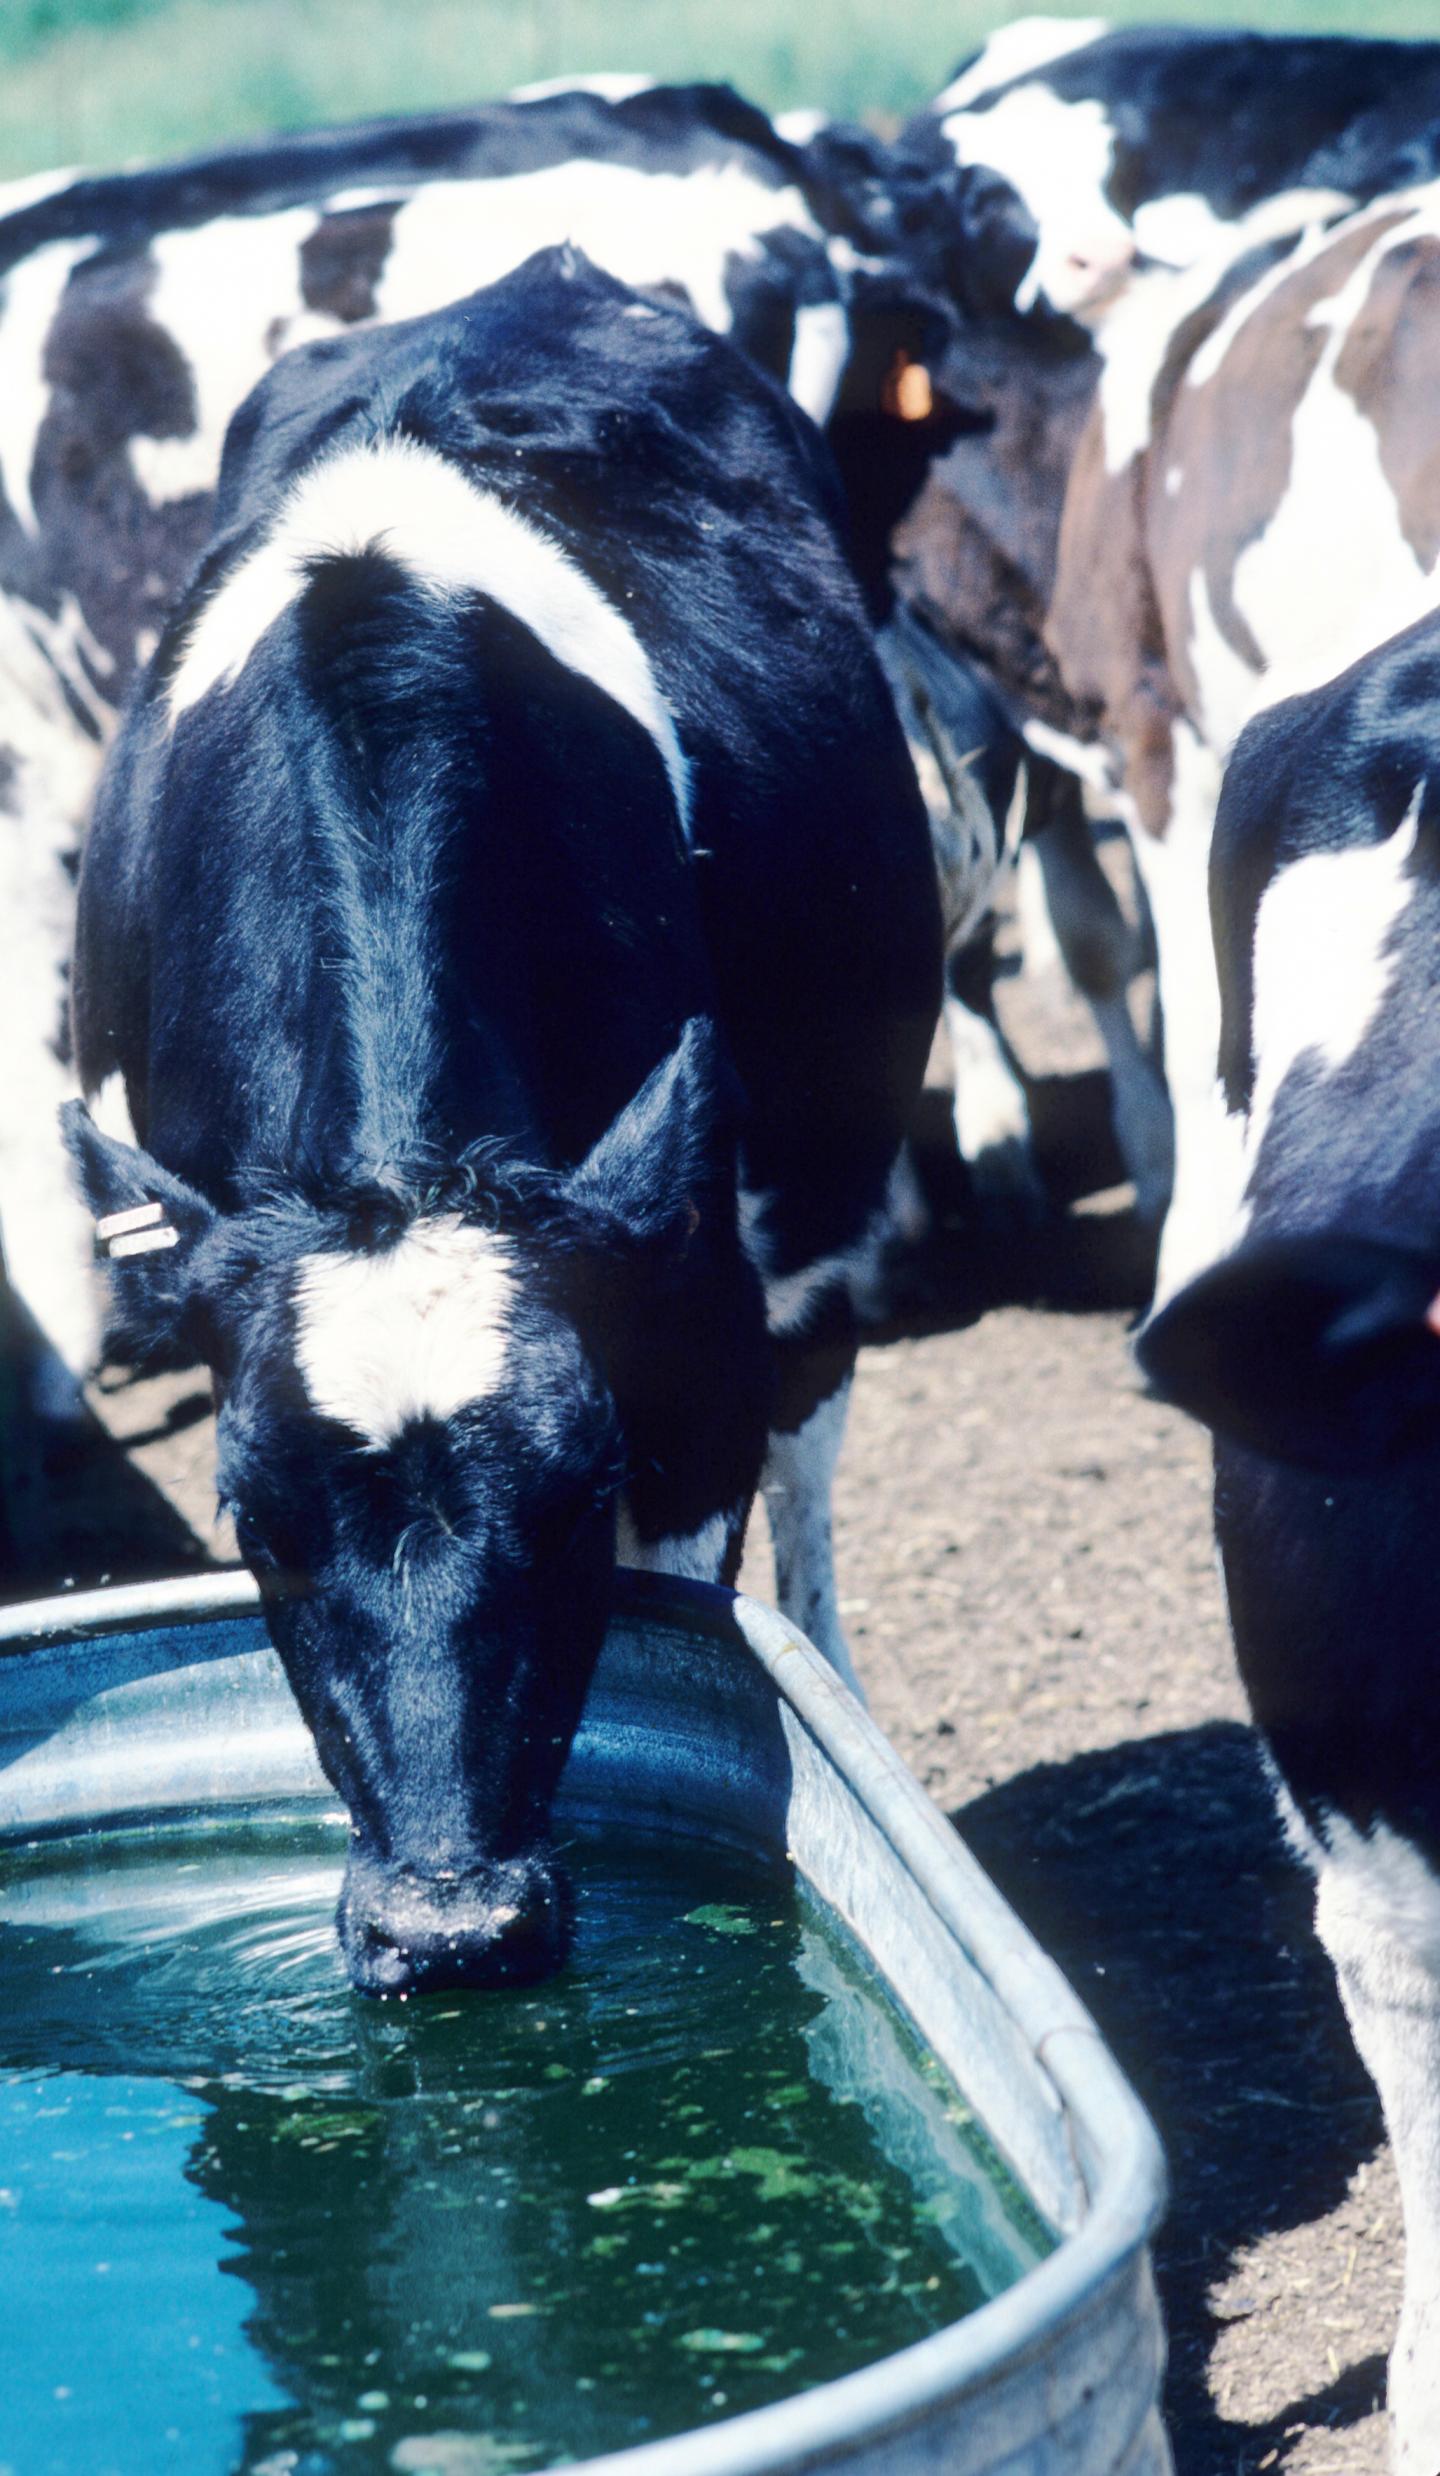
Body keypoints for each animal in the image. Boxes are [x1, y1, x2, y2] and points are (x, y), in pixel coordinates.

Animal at [64, 247, 942, 1991]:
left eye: (579, 1492)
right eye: (251, 1516)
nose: (452, 1930)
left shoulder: (693, 1336)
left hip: (820, 1216)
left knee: (817, 1438)